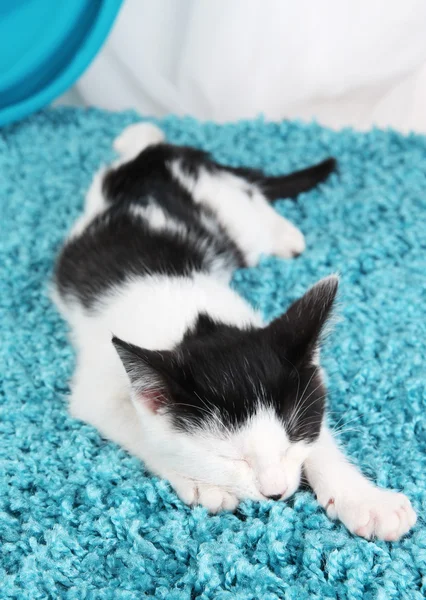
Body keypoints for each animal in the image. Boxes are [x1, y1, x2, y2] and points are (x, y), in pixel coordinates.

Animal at [53, 122, 416, 540]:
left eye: (291, 441)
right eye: (229, 457)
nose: (277, 493)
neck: (192, 320)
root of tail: (167, 156)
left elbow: (318, 432)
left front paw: (364, 499)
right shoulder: (97, 387)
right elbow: (142, 430)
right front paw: (201, 481)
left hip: (232, 214)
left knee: (250, 200)